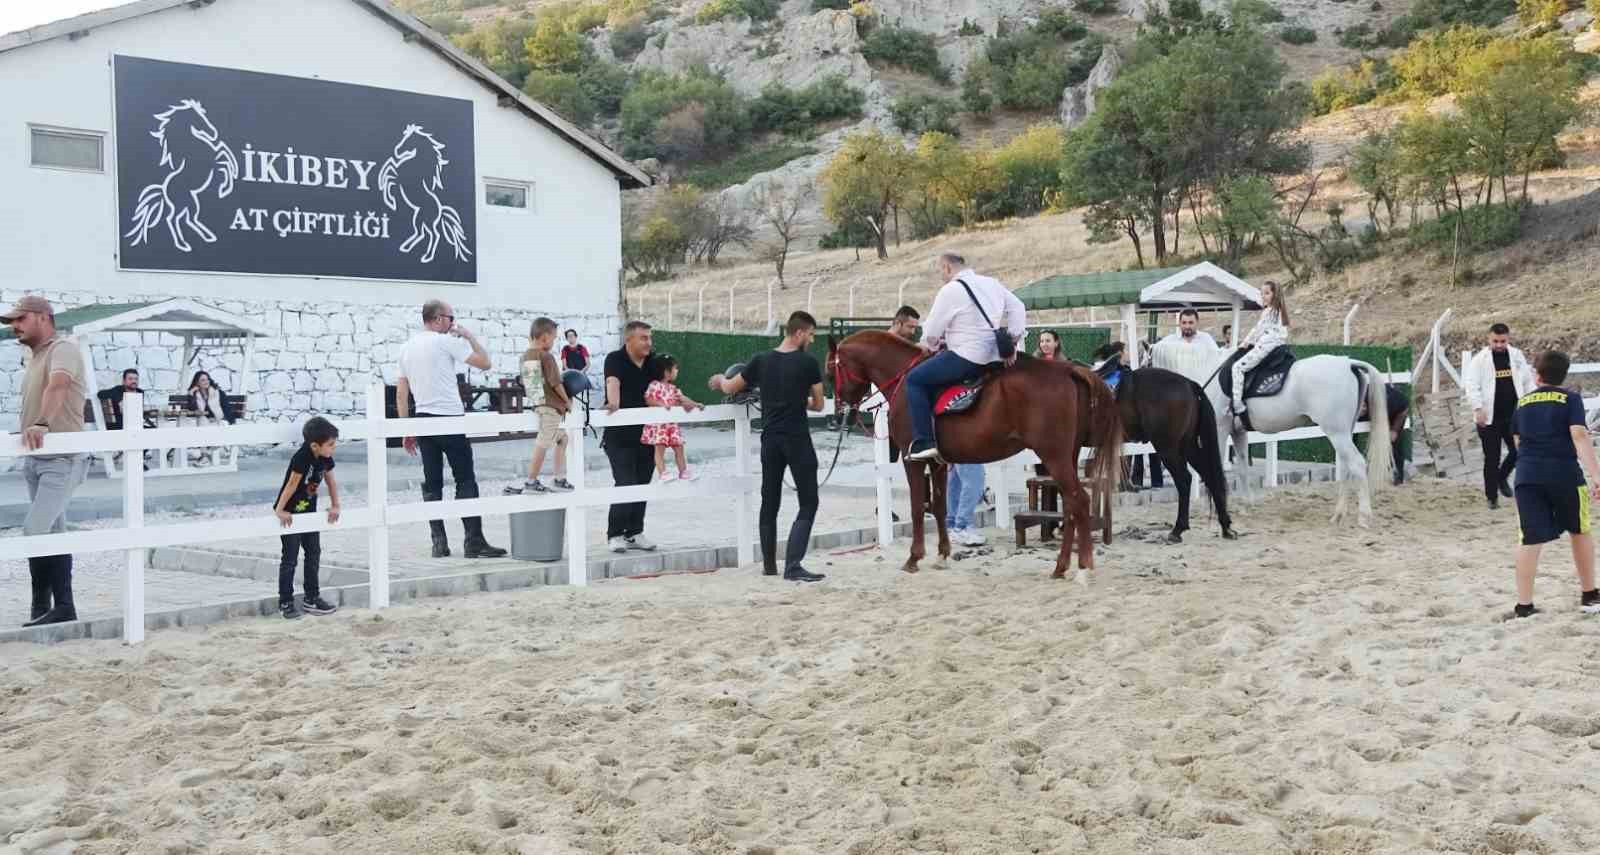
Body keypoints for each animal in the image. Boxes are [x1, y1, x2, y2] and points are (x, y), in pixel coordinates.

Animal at [832, 331, 1120, 579]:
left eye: (831, 367)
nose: (839, 414)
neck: (904, 378)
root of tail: (1068, 369)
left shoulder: (911, 459)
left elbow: (917, 508)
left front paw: (914, 557)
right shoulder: (937, 462)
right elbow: (939, 506)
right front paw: (942, 555)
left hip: (1054, 456)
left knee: (1079, 501)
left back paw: (1083, 568)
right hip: (1067, 456)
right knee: (1070, 505)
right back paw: (1062, 566)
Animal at [1113, 366, 1235, 544]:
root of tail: (1189, 384)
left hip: (1167, 448)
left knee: (1184, 480)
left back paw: (1177, 530)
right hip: (1188, 447)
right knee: (1209, 477)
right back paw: (1226, 527)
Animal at [1203, 352, 1388, 525]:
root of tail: (1348, 363)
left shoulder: (1220, 429)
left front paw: (1211, 511)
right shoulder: (1238, 432)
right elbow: (1242, 469)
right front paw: (1245, 507)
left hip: (1337, 433)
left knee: (1357, 464)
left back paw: (1364, 517)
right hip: (1343, 434)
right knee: (1346, 467)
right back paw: (1338, 515)